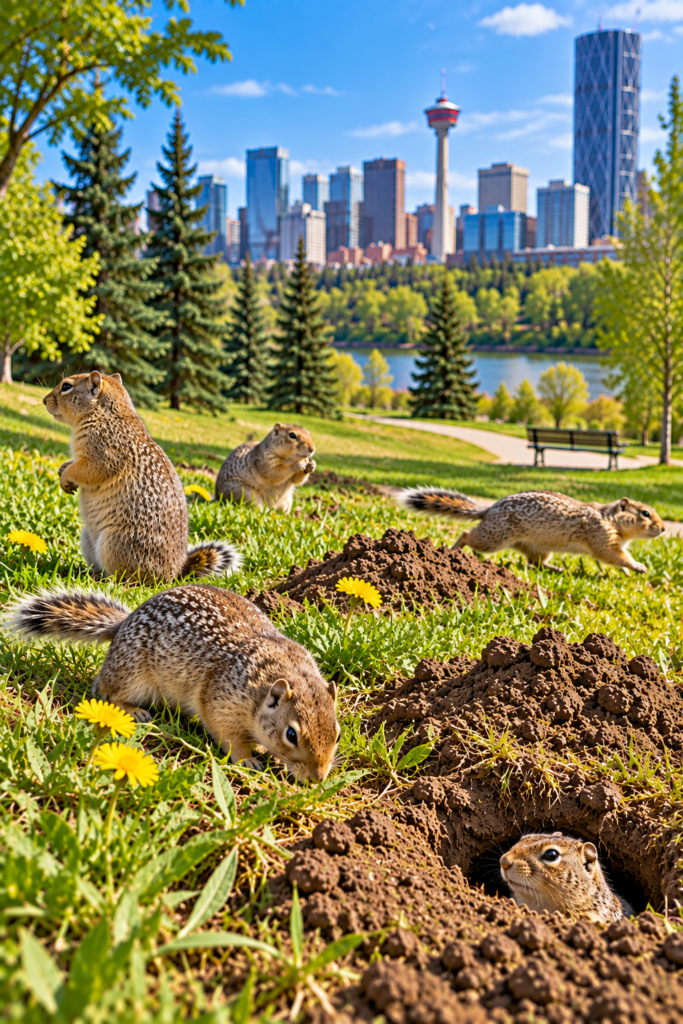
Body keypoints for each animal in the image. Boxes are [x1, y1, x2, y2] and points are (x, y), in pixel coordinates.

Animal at [6, 584, 339, 780]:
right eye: (291, 735)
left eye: (336, 734)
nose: (318, 778)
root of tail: (122, 625)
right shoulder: (220, 701)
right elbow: (228, 736)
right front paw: (249, 760)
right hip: (133, 676)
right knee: (105, 690)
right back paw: (135, 710)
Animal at [43, 371, 240, 582]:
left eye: (66, 386)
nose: (44, 400)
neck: (105, 414)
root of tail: (173, 574)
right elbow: (72, 465)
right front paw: (62, 469)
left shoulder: (103, 454)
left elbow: (87, 471)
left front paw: (66, 476)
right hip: (90, 539)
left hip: (115, 543)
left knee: (131, 579)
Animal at [399, 488, 664, 573]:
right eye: (645, 513)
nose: (662, 529)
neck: (609, 518)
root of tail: (490, 509)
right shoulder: (602, 537)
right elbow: (613, 556)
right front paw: (638, 566)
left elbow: (618, 558)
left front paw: (629, 570)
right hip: (493, 538)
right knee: (467, 536)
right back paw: (453, 551)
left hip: (538, 548)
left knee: (535, 563)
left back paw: (556, 568)